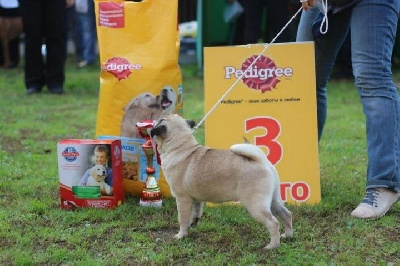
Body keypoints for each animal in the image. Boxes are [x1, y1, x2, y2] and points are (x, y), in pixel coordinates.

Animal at [149, 114, 290, 249]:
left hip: (255, 205)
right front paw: (193, 224)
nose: (154, 122)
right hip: (273, 200)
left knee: (273, 223)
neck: (180, 147)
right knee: (286, 214)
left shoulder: (182, 199)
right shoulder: (196, 200)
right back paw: (288, 236)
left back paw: (272, 245)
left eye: (159, 121)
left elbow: (183, 219)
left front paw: (181, 235)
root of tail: (262, 162)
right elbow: (195, 213)